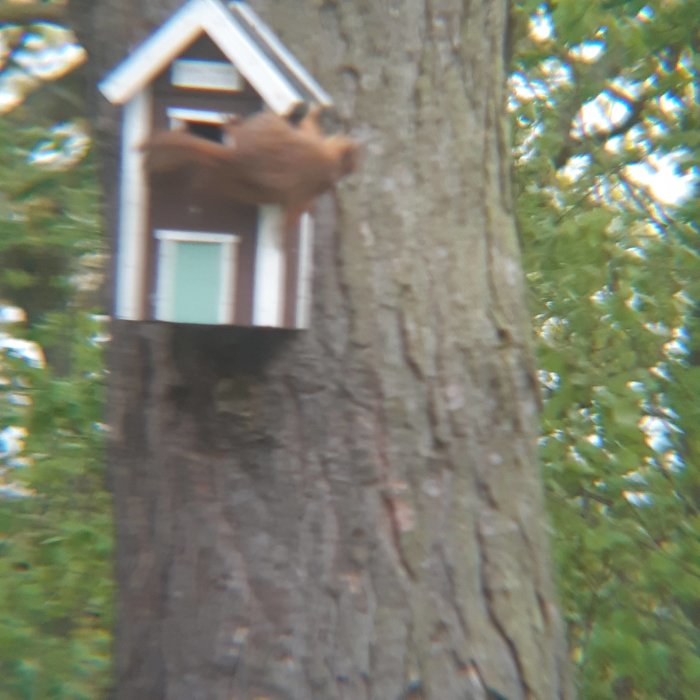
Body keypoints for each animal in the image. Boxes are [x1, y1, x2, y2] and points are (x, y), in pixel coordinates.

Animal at [144, 105, 360, 230]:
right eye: (352, 150)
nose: (354, 143)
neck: (331, 161)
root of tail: (238, 158)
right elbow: (310, 126)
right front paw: (317, 108)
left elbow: (309, 127)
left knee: (238, 132)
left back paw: (232, 124)